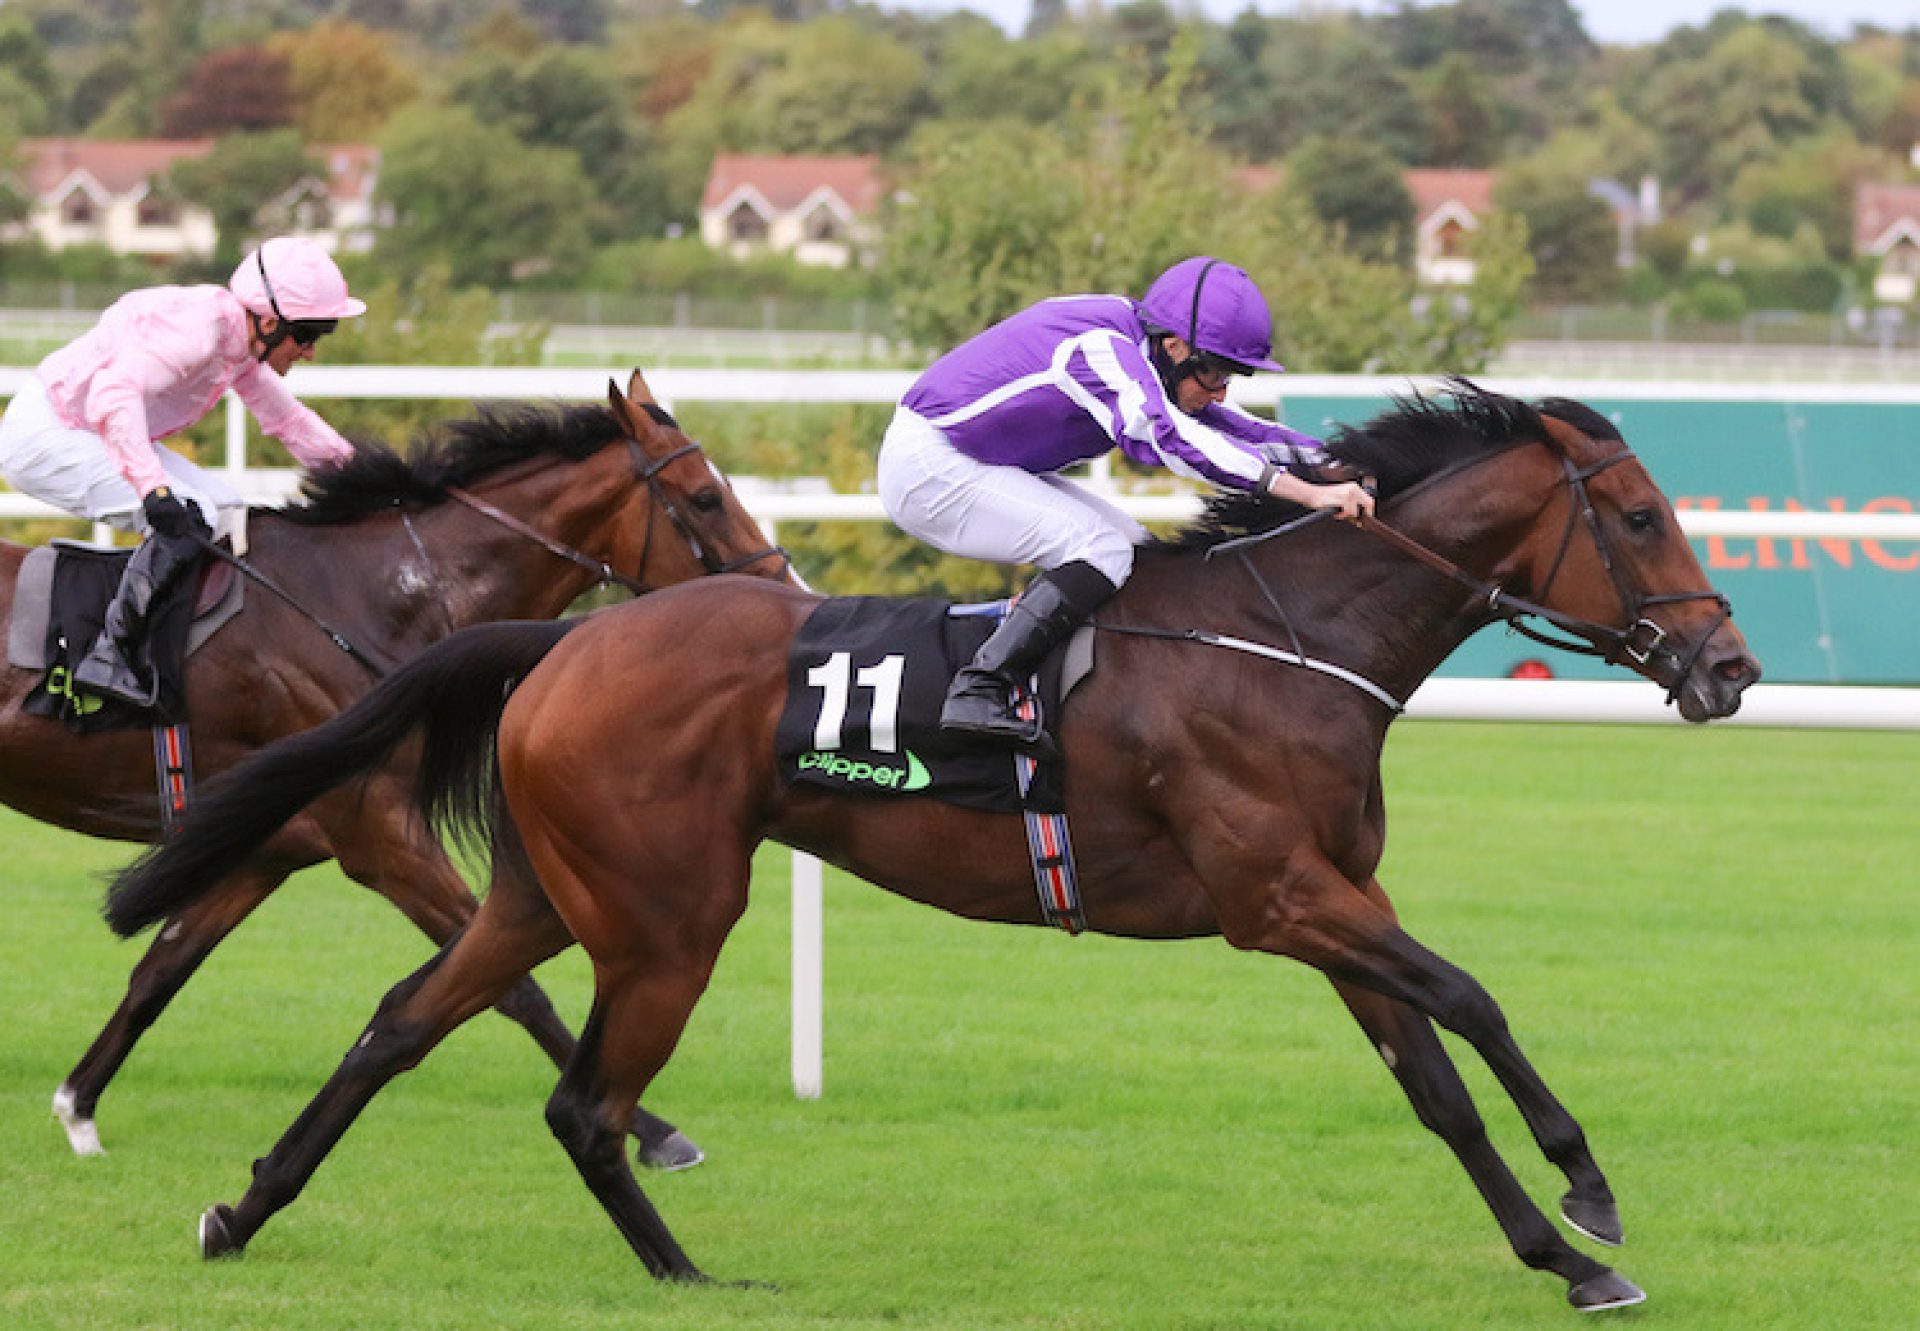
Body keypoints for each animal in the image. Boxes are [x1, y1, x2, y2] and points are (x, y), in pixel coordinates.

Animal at [3, 368, 791, 1160]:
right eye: (705, 497)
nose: (785, 588)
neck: (372, 598)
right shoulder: (379, 832)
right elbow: (515, 988)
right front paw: (656, 1133)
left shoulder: (269, 843)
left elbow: (161, 966)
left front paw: (78, 1107)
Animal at [101, 382, 1758, 1306]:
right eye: (1636, 514)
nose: (1730, 668)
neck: (1291, 639)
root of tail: (562, 638)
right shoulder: (1281, 894)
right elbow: (1475, 997)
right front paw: (1592, 1191)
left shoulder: (1335, 894)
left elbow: (1436, 1084)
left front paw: (1569, 1257)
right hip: (669, 912)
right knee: (586, 1102)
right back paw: (693, 1275)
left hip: (547, 891)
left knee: (400, 1024)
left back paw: (241, 1210)